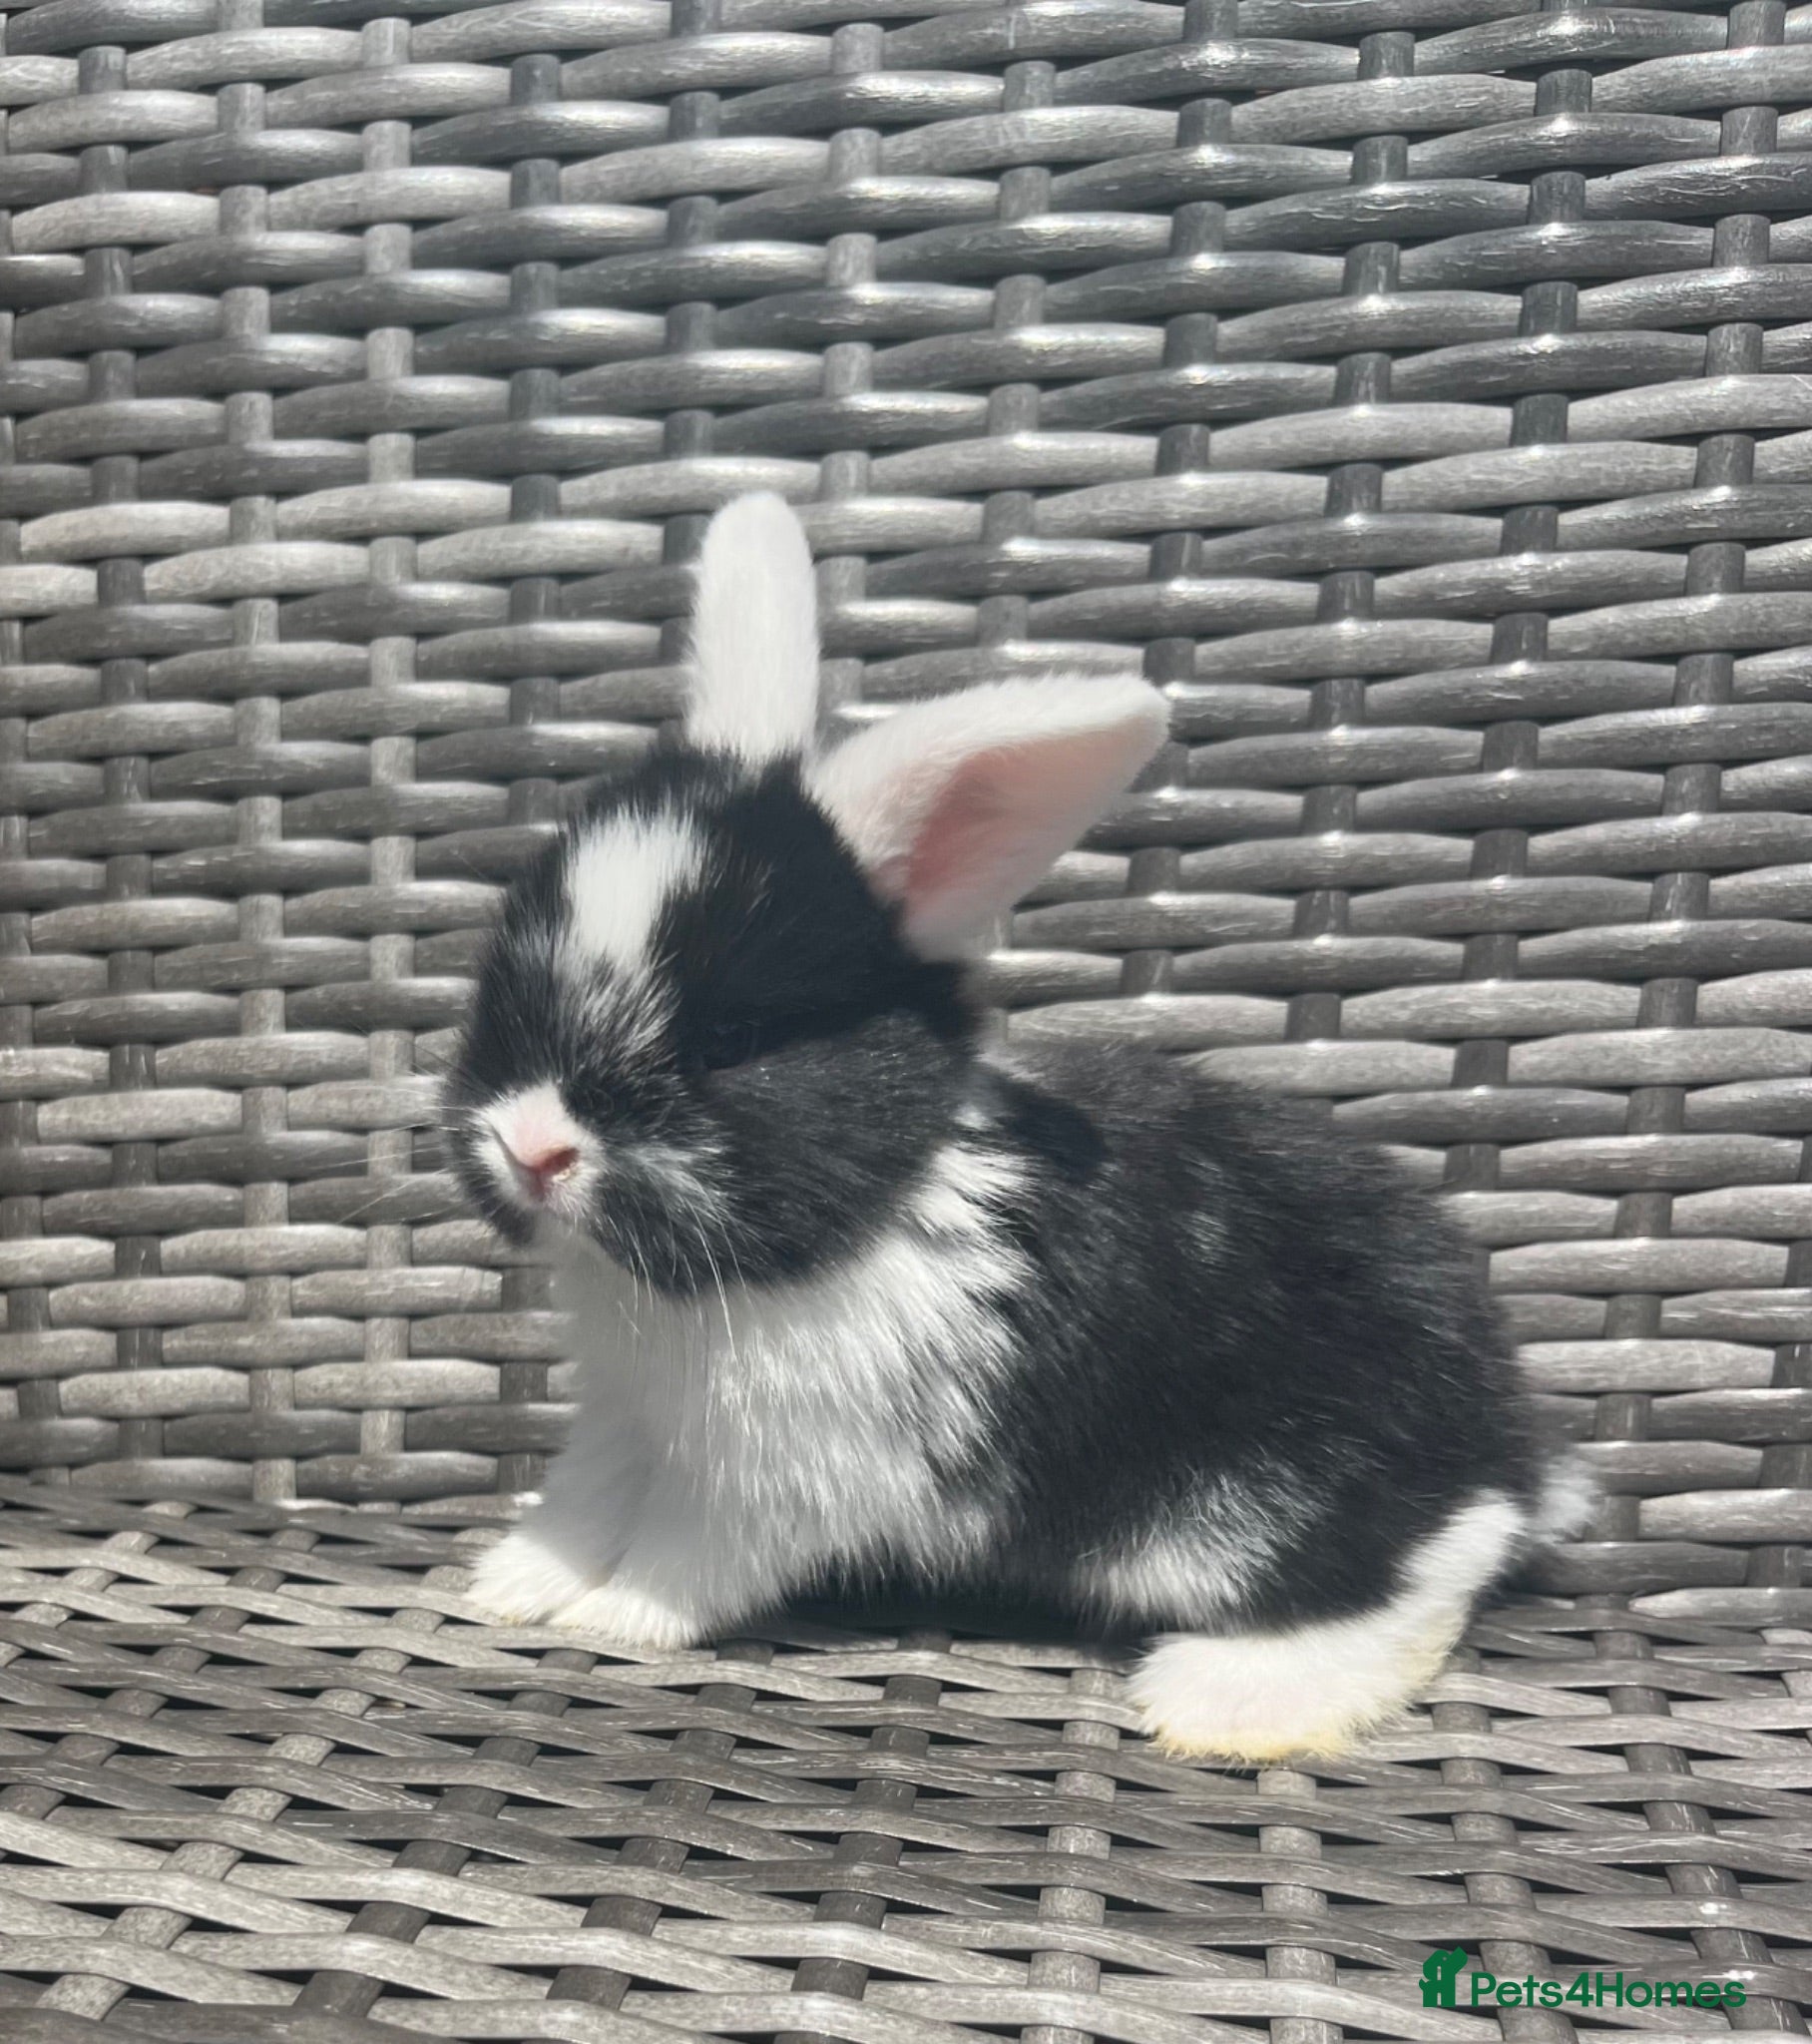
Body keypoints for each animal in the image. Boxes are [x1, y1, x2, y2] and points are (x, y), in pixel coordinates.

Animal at [446, 492, 1590, 1762]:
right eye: (503, 973)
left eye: (729, 1043)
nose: (531, 1147)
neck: (877, 1202)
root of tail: (1507, 1447)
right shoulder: (625, 1421)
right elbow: (585, 1500)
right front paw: (513, 1584)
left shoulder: (774, 1477)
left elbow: (688, 1559)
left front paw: (619, 1618)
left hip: (1263, 1498)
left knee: (1425, 1573)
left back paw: (1224, 1703)